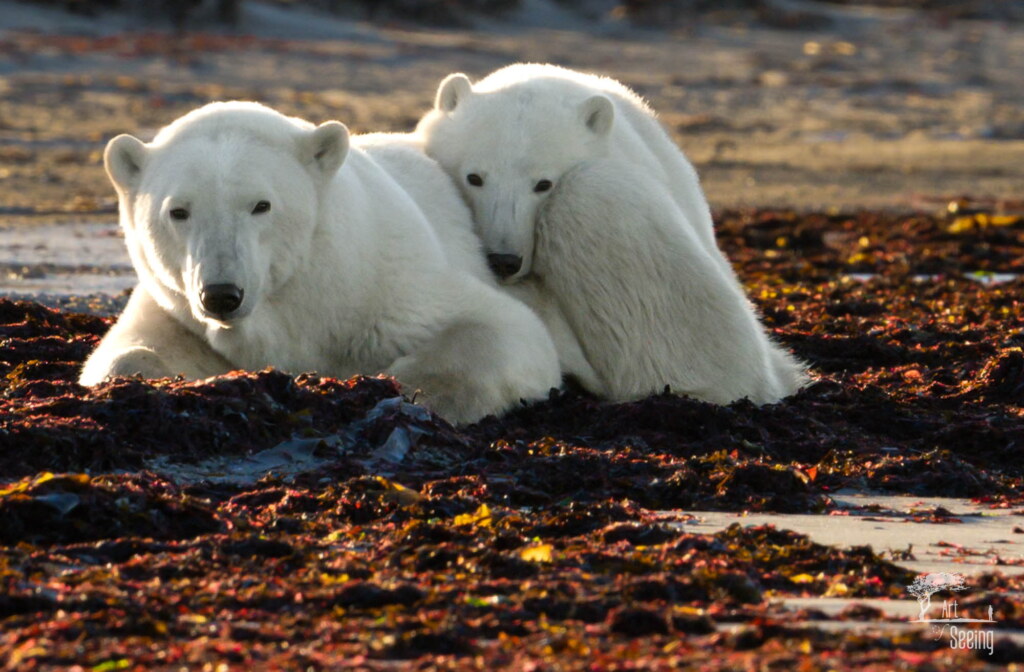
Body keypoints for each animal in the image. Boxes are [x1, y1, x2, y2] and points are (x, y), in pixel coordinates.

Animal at [79, 101, 561, 424]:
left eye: (261, 205)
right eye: (178, 211)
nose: (220, 295)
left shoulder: (387, 286)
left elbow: (504, 327)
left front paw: (410, 388)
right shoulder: (176, 309)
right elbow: (126, 353)